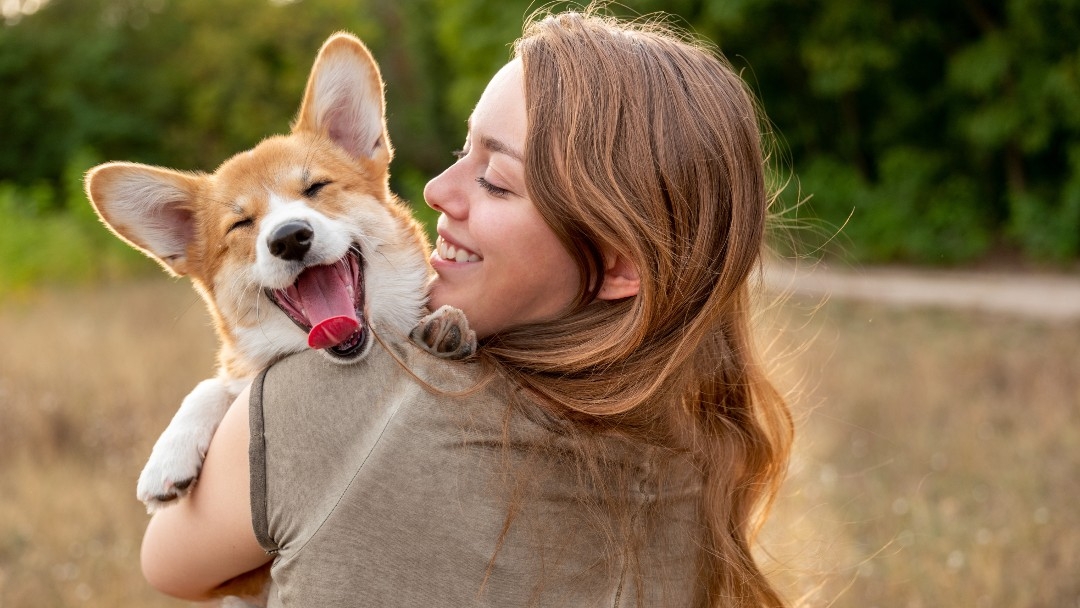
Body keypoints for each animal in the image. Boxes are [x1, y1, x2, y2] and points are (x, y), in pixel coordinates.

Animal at [84, 32, 473, 522]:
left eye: (316, 188)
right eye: (241, 224)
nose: (289, 238)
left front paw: (447, 327)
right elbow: (213, 385)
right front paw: (168, 457)